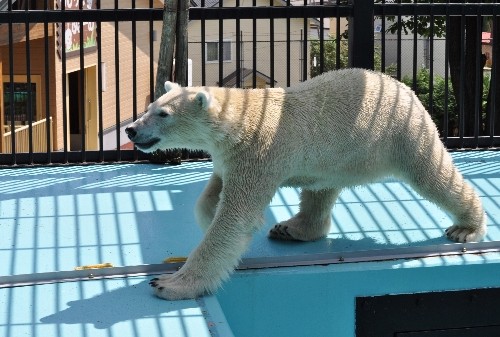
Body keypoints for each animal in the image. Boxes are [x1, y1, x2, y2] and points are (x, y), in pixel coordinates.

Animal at [126, 68, 488, 300]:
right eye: (150, 106)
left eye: (163, 114)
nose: (131, 129)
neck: (242, 118)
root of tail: (403, 87)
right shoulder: (231, 156)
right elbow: (211, 197)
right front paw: (207, 215)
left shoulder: (258, 154)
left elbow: (234, 220)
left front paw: (169, 284)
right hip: (337, 154)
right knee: (320, 189)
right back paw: (292, 228)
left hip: (402, 134)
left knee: (432, 175)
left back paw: (466, 227)